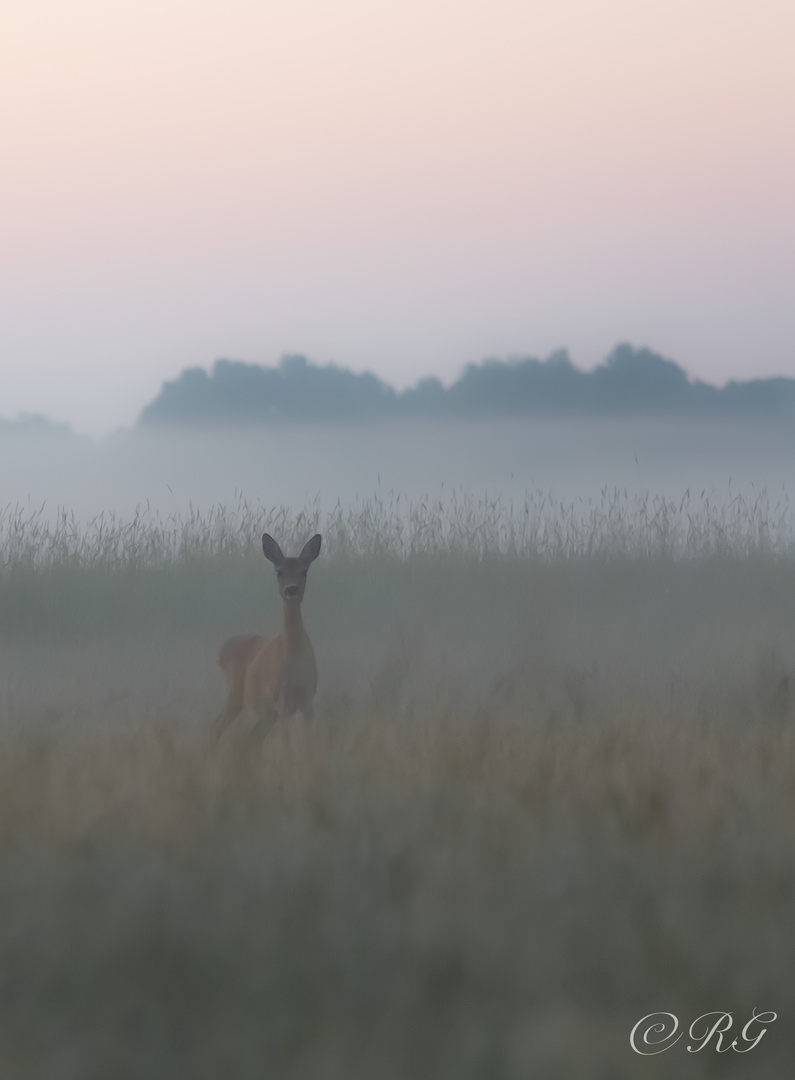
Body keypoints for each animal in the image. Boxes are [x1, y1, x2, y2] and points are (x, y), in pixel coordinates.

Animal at [213, 533, 324, 738]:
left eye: (304, 571)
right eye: (279, 572)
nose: (291, 589)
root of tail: (222, 651)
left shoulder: (307, 699)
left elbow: (308, 738)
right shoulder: (280, 700)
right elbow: (287, 741)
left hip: (266, 713)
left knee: (249, 738)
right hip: (235, 694)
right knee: (216, 728)